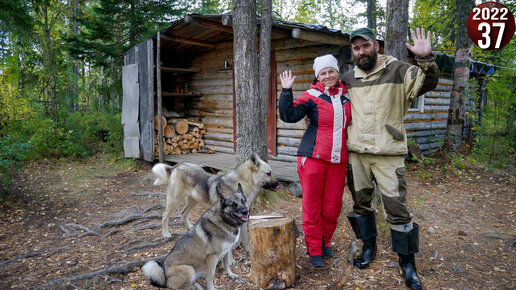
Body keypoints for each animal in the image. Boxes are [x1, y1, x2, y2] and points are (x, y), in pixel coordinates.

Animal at [153, 153, 282, 250]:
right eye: (268, 173)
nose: (278, 185)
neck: (243, 183)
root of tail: (175, 167)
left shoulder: (244, 218)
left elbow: (245, 238)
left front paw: (248, 251)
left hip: (193, 201)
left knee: (183, 212)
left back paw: (189, 227)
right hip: (174, 201)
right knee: (165, 216)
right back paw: (165, 233)